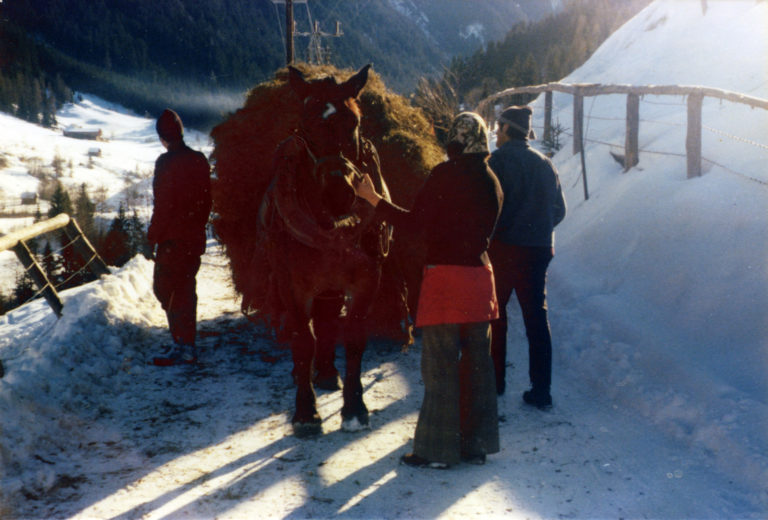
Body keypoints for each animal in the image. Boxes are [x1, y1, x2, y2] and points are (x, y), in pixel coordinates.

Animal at [260, 66, 392, 438]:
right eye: (304, 127)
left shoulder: (366, 281)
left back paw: (327, 373)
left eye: (355, 122)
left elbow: (354, 339)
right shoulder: (293, 288)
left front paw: (355, 409)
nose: (339, 193)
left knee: (328, 320)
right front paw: (306, 413)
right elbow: (303, 339)